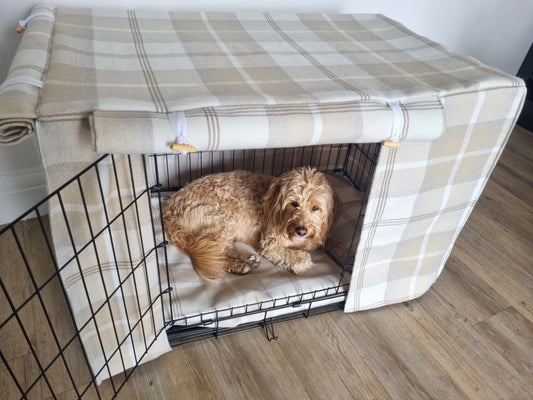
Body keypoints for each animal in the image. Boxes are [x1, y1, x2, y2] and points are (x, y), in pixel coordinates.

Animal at [163, 166, 336, 282]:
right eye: (294, 203)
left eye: (315, 208)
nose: (301, 230)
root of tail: (170, 207)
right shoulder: (270, 244)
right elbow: (300, 257)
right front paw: (301, 261)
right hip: (222, 217)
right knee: (214, 251)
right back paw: (240, 266)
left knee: (216, 250)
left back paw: (246, 260)